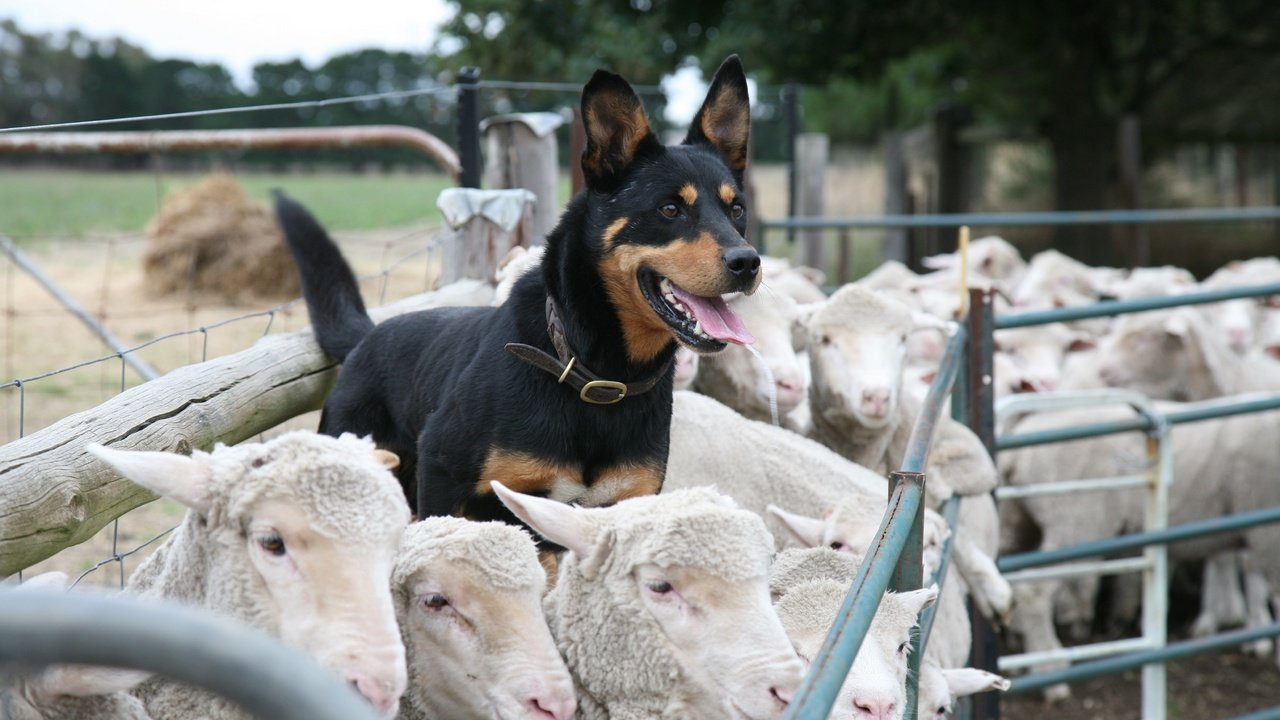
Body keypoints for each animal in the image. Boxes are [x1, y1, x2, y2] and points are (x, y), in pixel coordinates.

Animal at [275, 54, 757, 527]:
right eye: (670, 209)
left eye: (737, 210)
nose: (748, 263)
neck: (598, 374)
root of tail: (368, 337)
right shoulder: (442, 474)